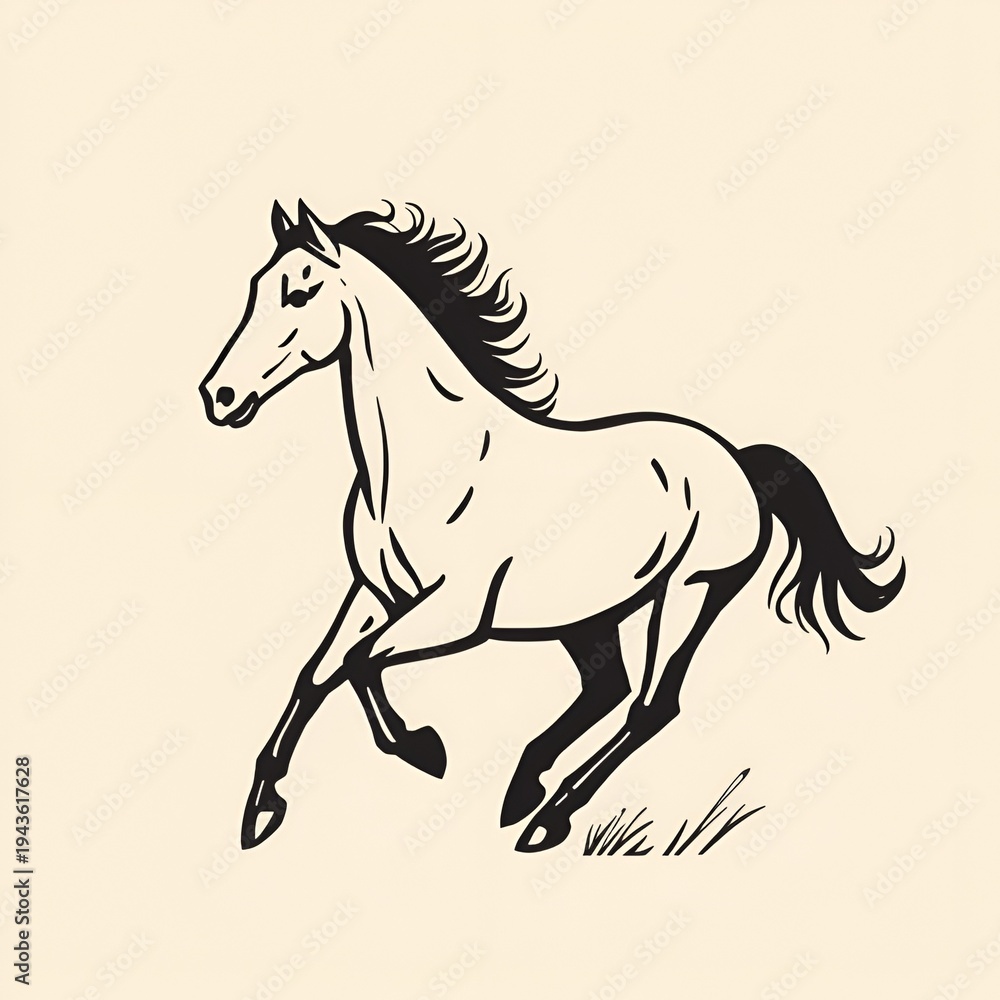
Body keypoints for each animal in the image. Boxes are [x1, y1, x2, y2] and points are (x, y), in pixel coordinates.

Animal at [199, 199, 904, 853]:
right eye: (256, 287)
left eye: (298, 293)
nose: (219, 397)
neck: (426, 465)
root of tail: (737, 459)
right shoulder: (378, 592)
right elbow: (316, 672)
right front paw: (262, 809)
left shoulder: (458, 613)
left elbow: (356, 661)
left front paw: (422, 748)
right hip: (587, 614)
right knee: (607, 689)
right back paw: (523, 789)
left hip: (693, 591)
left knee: (651, 705)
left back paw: (549, 817)